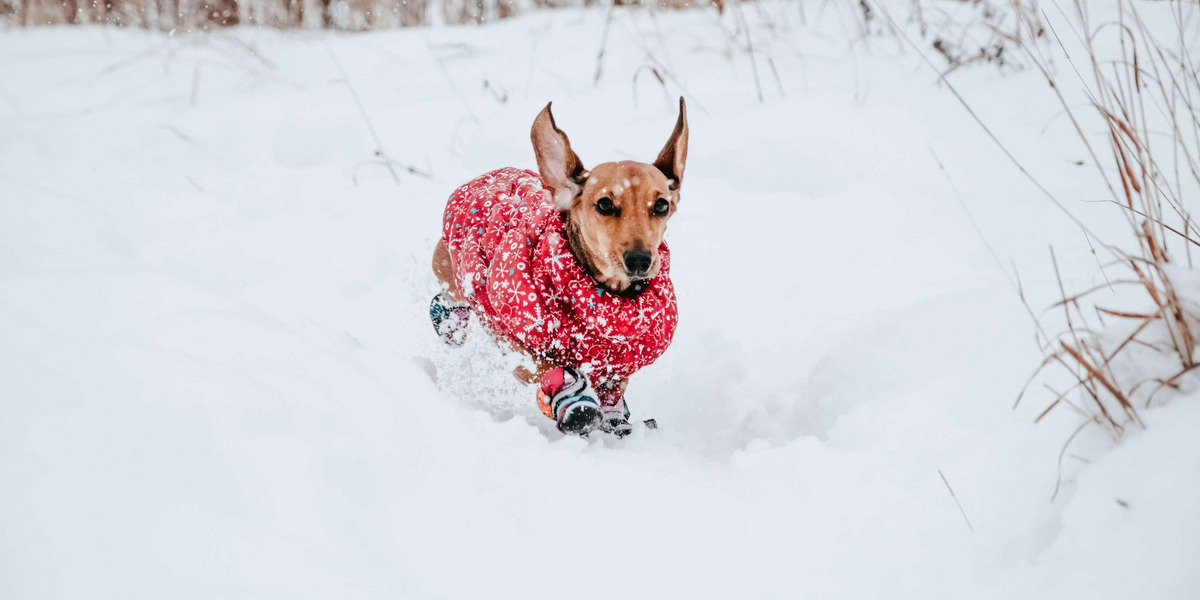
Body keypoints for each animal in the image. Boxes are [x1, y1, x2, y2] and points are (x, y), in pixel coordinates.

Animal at [432, 97, 691, 436]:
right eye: (605, 204)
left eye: (661, 205)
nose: (639, 260)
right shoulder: (517, 346)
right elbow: (549, 368)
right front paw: (575, 404)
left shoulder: (615, 366)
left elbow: (613, 394)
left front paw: (617, 422)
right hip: (454, 277)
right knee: (449, 298)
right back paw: (447, 321)